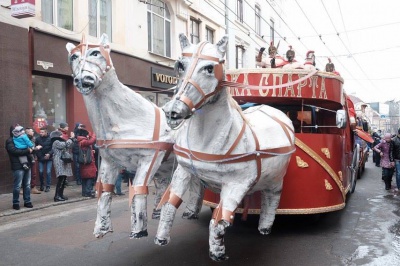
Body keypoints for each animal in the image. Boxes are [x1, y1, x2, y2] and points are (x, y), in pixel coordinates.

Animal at [66, 33, 174, 239]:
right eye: (73, 57)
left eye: (96, 52)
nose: (84, 79)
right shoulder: (109, 161)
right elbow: (104, 190)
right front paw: (101, 228)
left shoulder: (150, 157)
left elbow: (138, 188)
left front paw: (139, 230)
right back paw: (160, 213)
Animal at [155, 34, 296, 260]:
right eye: (180, 65)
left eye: (209, 68)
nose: (172, 111)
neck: (208, 138)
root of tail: (276, 111)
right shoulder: (184, 171)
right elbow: (169, 204)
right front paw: (161, 237)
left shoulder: (237, 183)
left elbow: (219, 222)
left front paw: (218, 253)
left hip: (276, 177)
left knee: (272, 197)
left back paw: (265, 227)